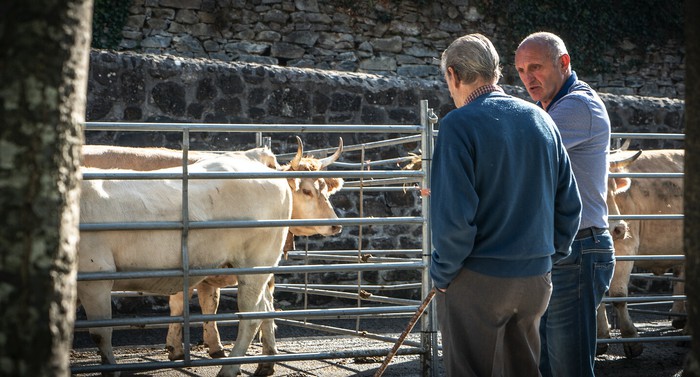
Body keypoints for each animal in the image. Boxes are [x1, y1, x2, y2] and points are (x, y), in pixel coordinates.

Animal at [78, 138, 344, 376]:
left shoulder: (96, 278)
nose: (335, 225)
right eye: (307, 191)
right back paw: (264, 364)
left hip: (255, 264)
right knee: (265, 307)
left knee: (252, 314)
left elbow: (100, 334)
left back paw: (230, 368)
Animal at [592, 148, 688, 356]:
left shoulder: (626, 249)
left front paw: (631, 339)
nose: (618, 228)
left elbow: (618, 296)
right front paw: (601, 337)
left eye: (613, 189)